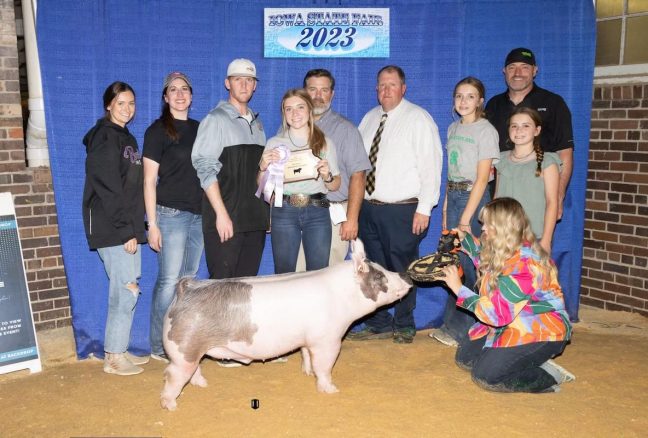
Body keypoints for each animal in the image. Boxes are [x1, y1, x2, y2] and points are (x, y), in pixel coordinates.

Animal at [159, 238, 410, 408]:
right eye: (380, 277)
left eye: (383, 268)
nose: (407, 277)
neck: (342, 296)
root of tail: (187, 288)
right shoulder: (328, 339)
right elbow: (324, 366)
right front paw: (331, 390)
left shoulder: (308, 339)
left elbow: (306, 355)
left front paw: (307, 373)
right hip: (184, 347)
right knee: (173, 374)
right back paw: (171, 405)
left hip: (192, 349)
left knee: (194, 369)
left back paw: (203, 385)